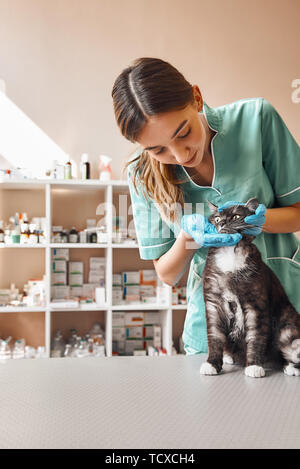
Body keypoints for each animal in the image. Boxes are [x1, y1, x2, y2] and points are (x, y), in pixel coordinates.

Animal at [199, 197, 300, 376]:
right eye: (217, 219)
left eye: (236, 216)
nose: (222, 223)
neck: (230, 253)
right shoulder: (214, 304)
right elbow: (215, 336)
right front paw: (212, 364)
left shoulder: (255, 305)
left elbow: (255, 336)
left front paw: (254, 366)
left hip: (287, 330)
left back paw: (290, 367)